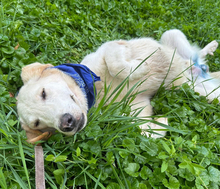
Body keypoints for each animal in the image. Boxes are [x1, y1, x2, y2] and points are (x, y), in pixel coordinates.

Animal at [16, 29, 219, 142]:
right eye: (37, 124)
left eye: (43, 93)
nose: (66, 124)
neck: (96, 92)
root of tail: (198, 72)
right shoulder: (136, 108)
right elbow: (143, 130)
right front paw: (162, 122)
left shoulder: (114, 46)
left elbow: (115, 62)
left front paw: (139, 68)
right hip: (204, 93)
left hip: (170, 34)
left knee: (196, 54)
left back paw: (209, 49)